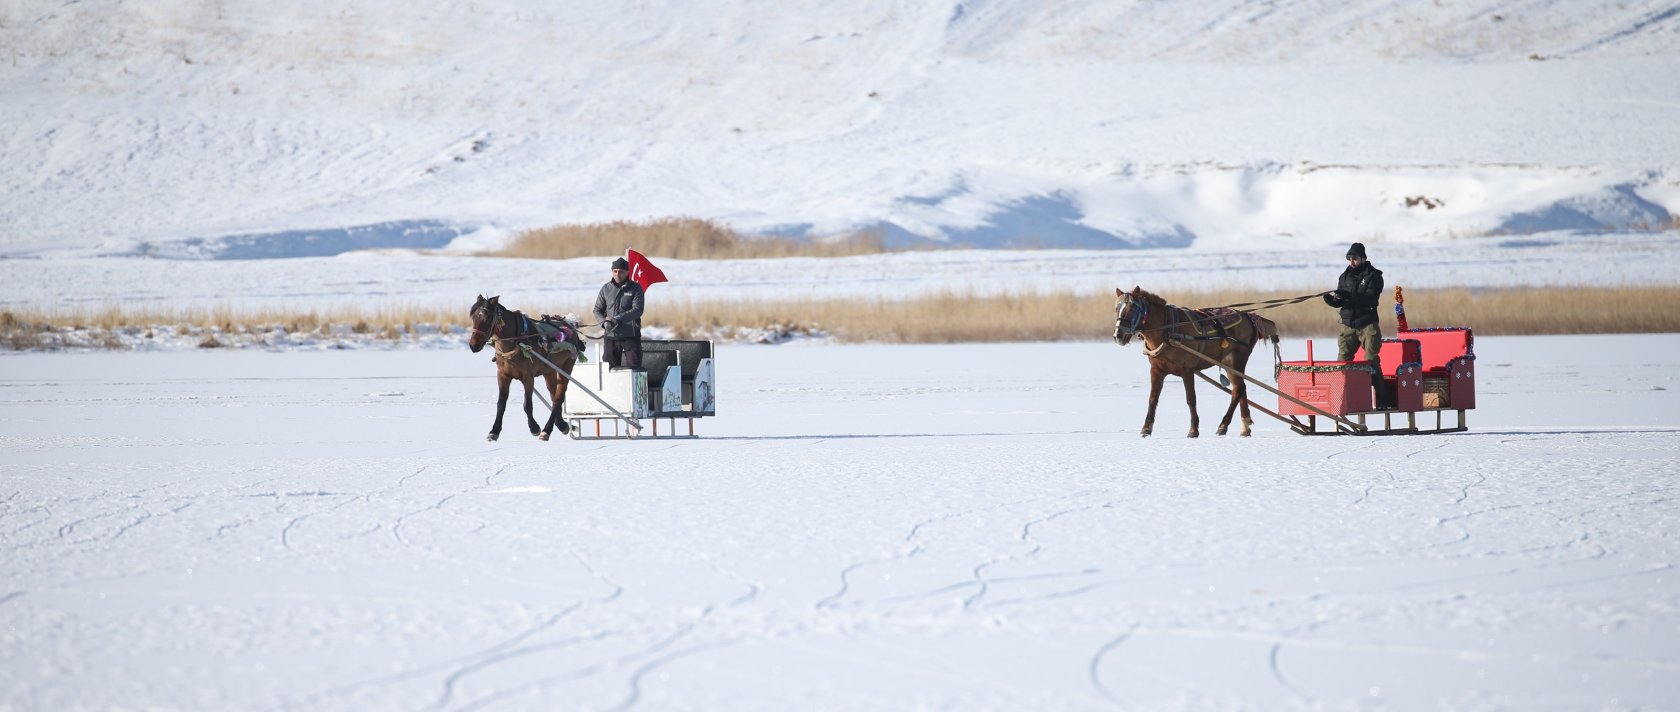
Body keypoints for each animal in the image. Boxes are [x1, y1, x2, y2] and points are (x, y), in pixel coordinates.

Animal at [468, 295, 585, 442]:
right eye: (472, 316)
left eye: (487, 317)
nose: (474, 345)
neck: (517, 341)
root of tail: (569, 325)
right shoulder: (502, 375)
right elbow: (501, 404)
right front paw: (494, 431)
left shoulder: (528, 376)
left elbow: (527, 405)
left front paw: (534, 427)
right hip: (549, 371)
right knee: (554, 395)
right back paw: (561, 424)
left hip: (567, 365)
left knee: (559, 397)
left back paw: (547, 430)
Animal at [1113, 286, 1279, 438]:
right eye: (1117, 308)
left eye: (1132, 308)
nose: (1118, 335)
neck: (1168, 331)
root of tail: (1248, 316)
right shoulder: (1156, 370)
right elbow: (1153, 399)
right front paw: (1146, 429)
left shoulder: (1187, 370)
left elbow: (1191, 399)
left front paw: (1193, 430)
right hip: (1230, 364)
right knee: (1241, 388)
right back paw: (1245, 426)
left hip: (1236, 360)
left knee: (1238, 389)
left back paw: (1224, 425)